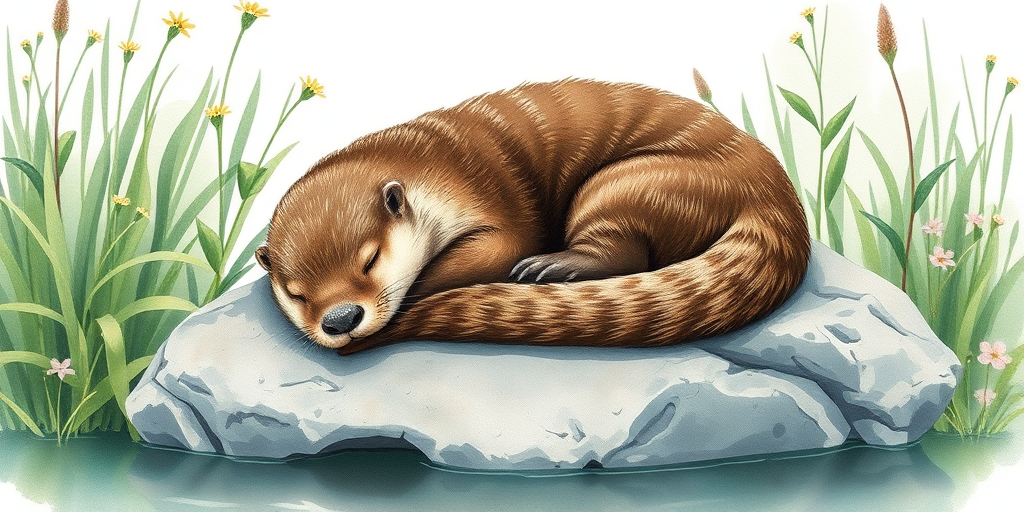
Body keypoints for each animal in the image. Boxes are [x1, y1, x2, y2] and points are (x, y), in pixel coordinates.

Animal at [255, 79, 810, 355]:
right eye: (297, 294)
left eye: (370, 261)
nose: (340, 319)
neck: (428, 164)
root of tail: (771, 185)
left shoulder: (491, 197)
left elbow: (503, 246)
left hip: (630, 183)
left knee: (626, 251)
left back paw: (554, 265)